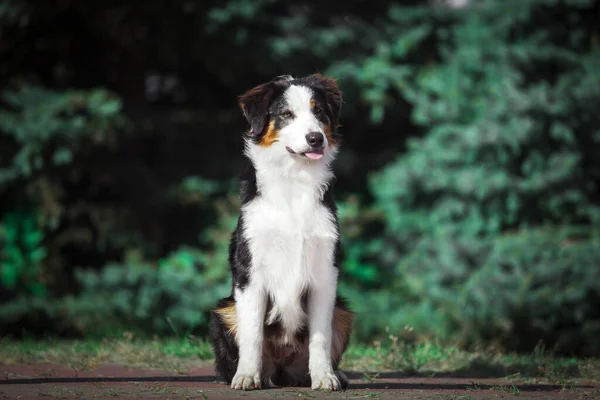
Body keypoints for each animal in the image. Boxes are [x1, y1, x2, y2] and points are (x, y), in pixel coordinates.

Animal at [209, 74, 354, 390]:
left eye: (319, 112)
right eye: (286, 114)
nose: (315, 138)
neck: (294, 180)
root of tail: (283, 371)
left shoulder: (325, 272)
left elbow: (321, 337)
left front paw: (324, 377)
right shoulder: (250, 271)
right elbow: (252, 334)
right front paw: (247, 376)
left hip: (343, 312)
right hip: (223, 312)